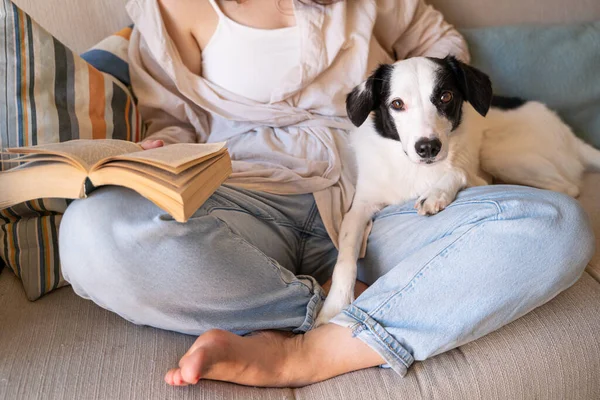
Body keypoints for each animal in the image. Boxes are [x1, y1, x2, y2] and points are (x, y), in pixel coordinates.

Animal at [314, 54, 600, 326]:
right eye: (396, 104)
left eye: (445, 96)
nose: (428, 147)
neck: (414, 170)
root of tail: (569, 133)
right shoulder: (360, 207)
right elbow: (345, 257)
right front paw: (333, 308)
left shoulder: (476, 177)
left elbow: (456, 171)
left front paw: (436, 193)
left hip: (496, 154)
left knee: (567, 186)